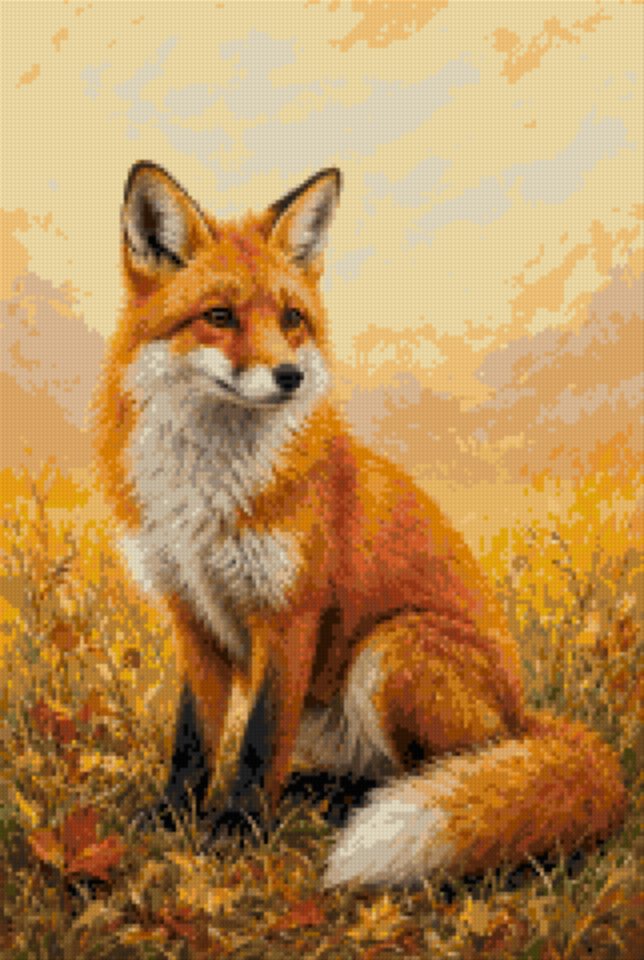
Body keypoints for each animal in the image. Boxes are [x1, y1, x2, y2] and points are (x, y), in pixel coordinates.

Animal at [95, 161, 626, 887]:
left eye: (292, 319)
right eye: (219, 317)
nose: (289, 375)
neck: (206, 492)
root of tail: (523, 719)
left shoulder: (289, 614)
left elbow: (258, 741)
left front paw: (238, 829)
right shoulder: (193, 617)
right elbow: (193, 740)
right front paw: (174, 816)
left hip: (391, 650)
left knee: (431, 773)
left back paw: (357, 809)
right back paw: (319, 793)